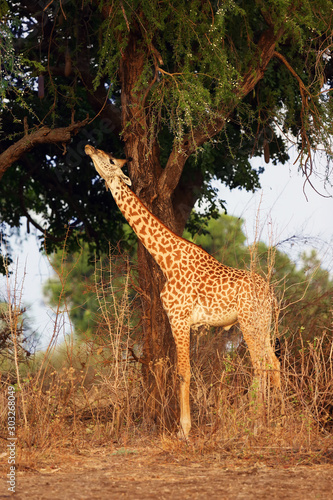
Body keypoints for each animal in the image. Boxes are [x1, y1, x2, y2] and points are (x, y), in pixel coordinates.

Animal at [84, 143, 278, 436]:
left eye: (108, 159)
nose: (88, 147)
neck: (166, 259)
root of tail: (270, 294)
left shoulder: (179, 317)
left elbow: (183, 371)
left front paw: (184, 430)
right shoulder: (182, 320)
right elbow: (180, 370)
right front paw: (183, 426)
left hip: (249, 321)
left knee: (260, 365)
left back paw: (256, 423)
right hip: (263, 323)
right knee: (273, 363)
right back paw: (281, 414)